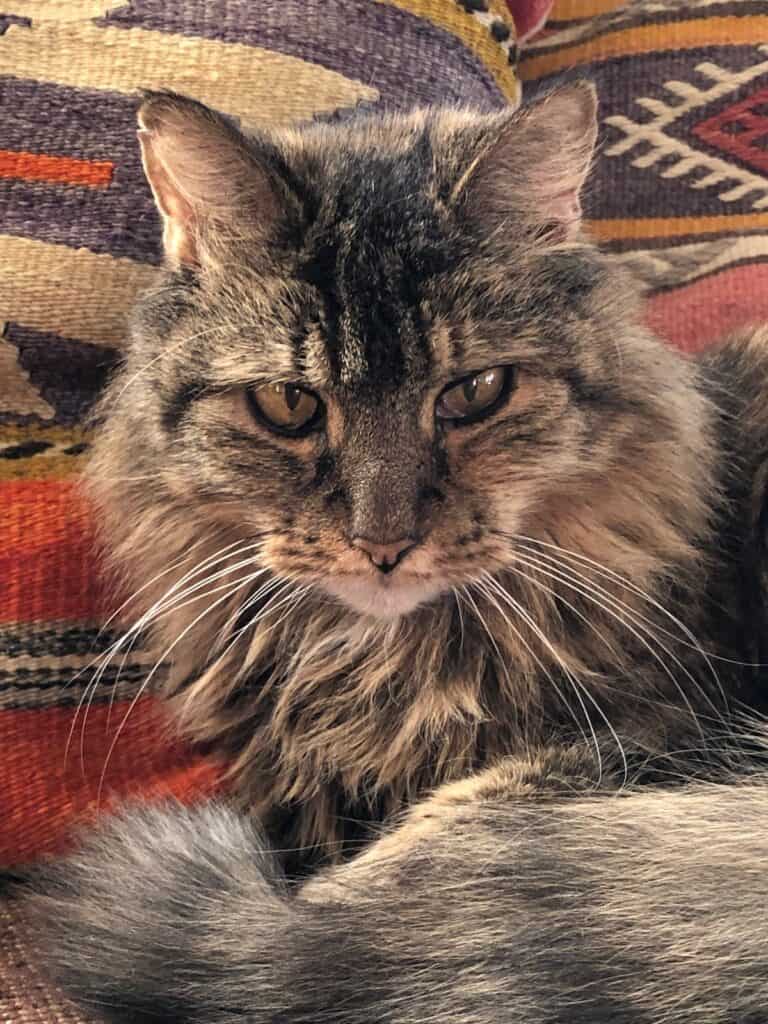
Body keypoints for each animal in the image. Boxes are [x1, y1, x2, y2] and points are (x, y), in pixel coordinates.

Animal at [27, 83, 768, 1019]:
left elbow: (410, 870)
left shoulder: (663, 730)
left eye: (476, 392)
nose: (383, 544)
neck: (378, 665)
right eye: (289, 404)